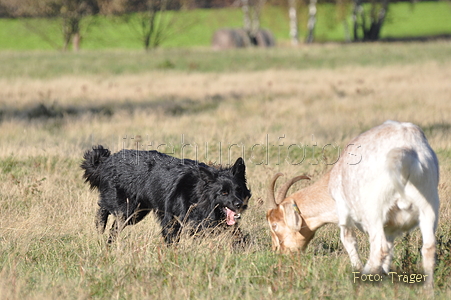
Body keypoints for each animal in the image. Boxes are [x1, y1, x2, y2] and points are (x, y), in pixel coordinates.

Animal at [80, 146, 251, 244]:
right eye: (223, 192)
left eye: (239, 190)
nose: (239, 204)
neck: (197, 194)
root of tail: (107, 161)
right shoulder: (171, 222)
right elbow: (172, 240)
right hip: (128, 209)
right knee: (103, 207)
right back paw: (99, 225)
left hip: (137, 213)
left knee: (114, 227)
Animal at [330, 120, 440, 288]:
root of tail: (407, 151)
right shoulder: (390, 228)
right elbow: (390, 248)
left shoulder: (342, 209)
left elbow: (348, 239)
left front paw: (358, 268)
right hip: (429, 204)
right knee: (429, 247)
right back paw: (427, 288)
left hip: (374, 210)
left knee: (379, 249)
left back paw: (364, 278)